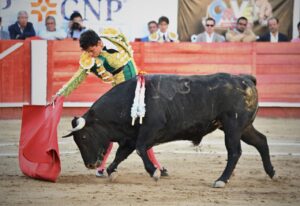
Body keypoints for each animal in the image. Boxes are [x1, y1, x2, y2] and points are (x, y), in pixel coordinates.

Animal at [64, 73, 276, 187]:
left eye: (83, 137)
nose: (90, 164)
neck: (126, 101)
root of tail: (245, 79)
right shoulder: (130, 137)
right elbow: (121, 154)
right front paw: (110, 171)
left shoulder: (149, 130)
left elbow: (140, 149)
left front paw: (154, 172)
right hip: (244, 127)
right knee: (261, 141)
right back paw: (271, 173)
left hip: (233, 127)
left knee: (234, 152)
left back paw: (221, 180)